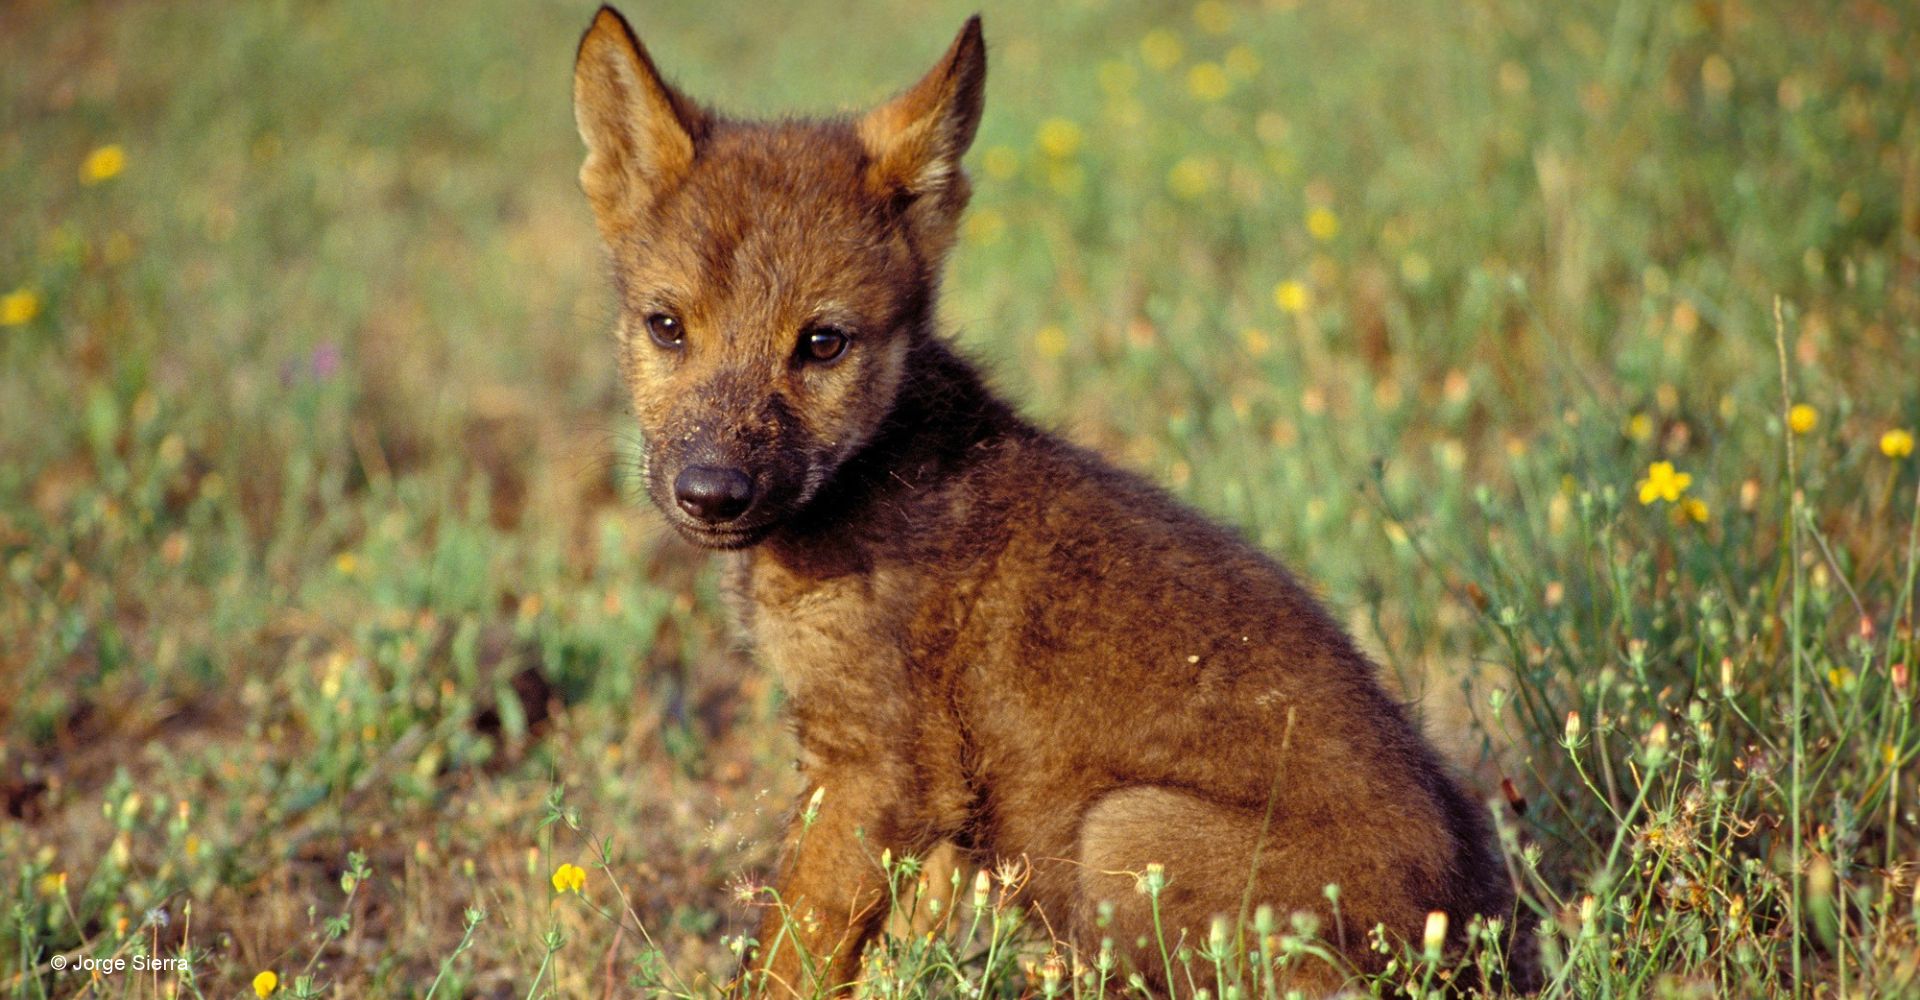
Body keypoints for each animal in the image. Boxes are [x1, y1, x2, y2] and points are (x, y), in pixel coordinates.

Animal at [572, 6, 1532, 994]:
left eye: (823, 343)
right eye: (667, 328)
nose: (710, 493)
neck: (871, 468)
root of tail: (1471, 949)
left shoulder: (877, 768)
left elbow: (786, 959)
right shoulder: (929, 799)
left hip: (1123, 832)